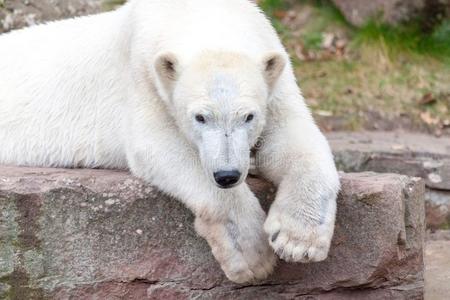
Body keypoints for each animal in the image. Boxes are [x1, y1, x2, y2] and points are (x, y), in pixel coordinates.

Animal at [0, 0, 340, 284]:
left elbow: (292, 135)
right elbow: (156, 145)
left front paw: (297, 240)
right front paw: (253, 256)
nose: (227, 175)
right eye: (200, 117)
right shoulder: (142, 72)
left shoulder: (274, 77)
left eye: (249, 116)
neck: (197, 11)